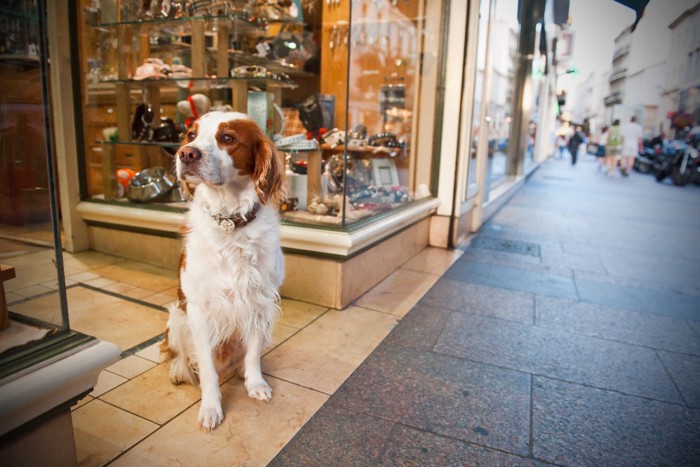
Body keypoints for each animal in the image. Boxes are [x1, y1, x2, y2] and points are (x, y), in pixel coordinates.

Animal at [161, 110, 284, 432]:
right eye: (191, 134)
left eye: (228, 138)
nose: (186, 153)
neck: (230, 222)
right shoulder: (200, 310)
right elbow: (206, 369)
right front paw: (211, 408)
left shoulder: (259, 303)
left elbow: (253, 353)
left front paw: (255, 383)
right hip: (177, 318)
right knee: (177, 352)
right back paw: (178, 371)